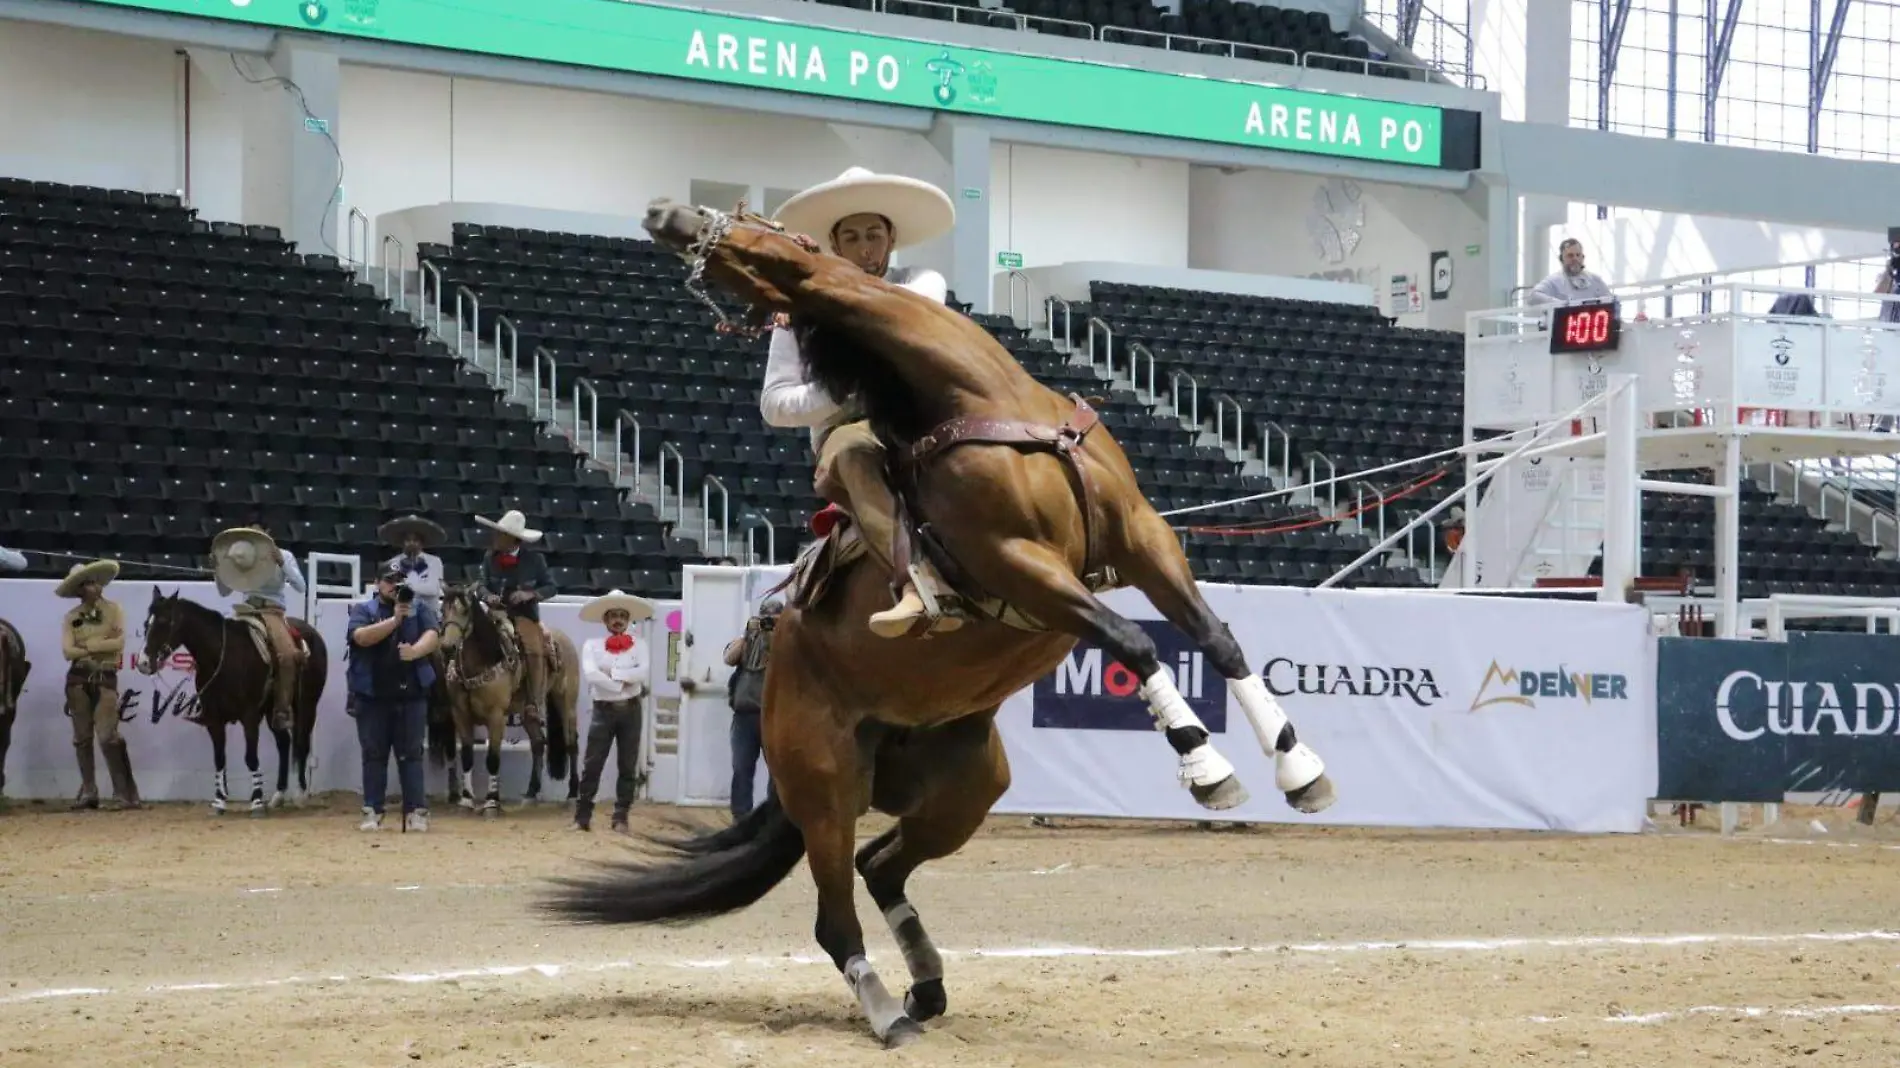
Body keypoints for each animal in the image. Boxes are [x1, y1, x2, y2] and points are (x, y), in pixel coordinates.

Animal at [138, 585, 326, 809]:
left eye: (164, 621)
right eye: (146, 622)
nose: (143, 663)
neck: (222, 656)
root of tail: (312, 633)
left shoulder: (250, 716)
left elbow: (251, 757)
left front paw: (256, 801)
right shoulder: (214, 718)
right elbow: (219, 758)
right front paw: (219, 801)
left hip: (307, 705)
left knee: (302, 744)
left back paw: (300, 794)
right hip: (273, 710)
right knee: (284, 743)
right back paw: (279, 795)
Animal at [535, 199, 1337, 1048]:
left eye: (757, 224)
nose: (667, 214)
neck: (989, 402)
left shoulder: (1142, 538)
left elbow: (1216, 639)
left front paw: (1299, 768)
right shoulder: (1020, 566)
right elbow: (1133, 641)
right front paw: (1207, 769)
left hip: (966, 790)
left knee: (881, 866)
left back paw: (926, 986)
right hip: (825, 787)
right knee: (835, 917)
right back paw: (889, 1013)